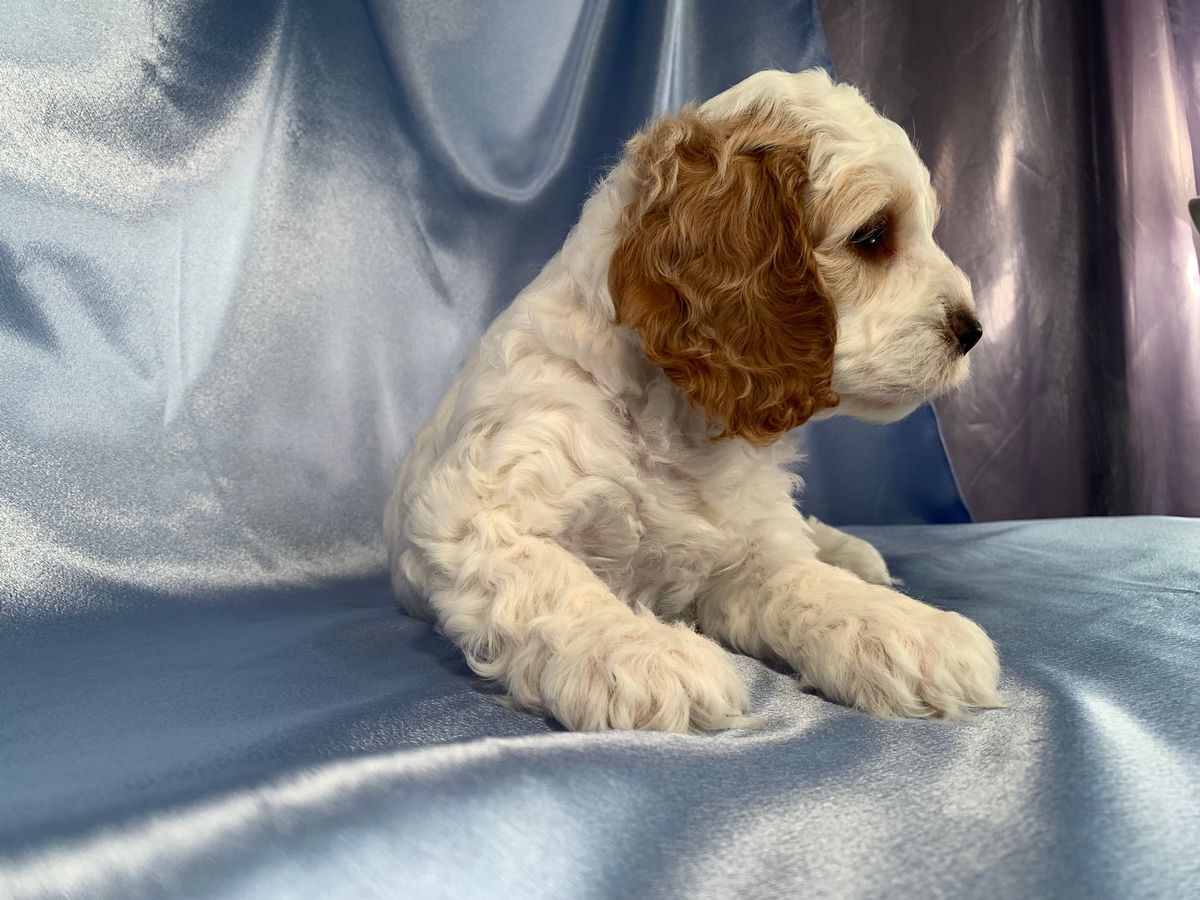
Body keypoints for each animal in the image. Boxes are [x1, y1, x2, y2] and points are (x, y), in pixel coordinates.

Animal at [386, 68, 1003, 734]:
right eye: (872, 236)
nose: (973, 330)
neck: (672, 418)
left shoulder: (749, 551)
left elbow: (807, 581)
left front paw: (905, 628)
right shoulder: (479, 515)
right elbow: (549, 582)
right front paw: (638, 652)